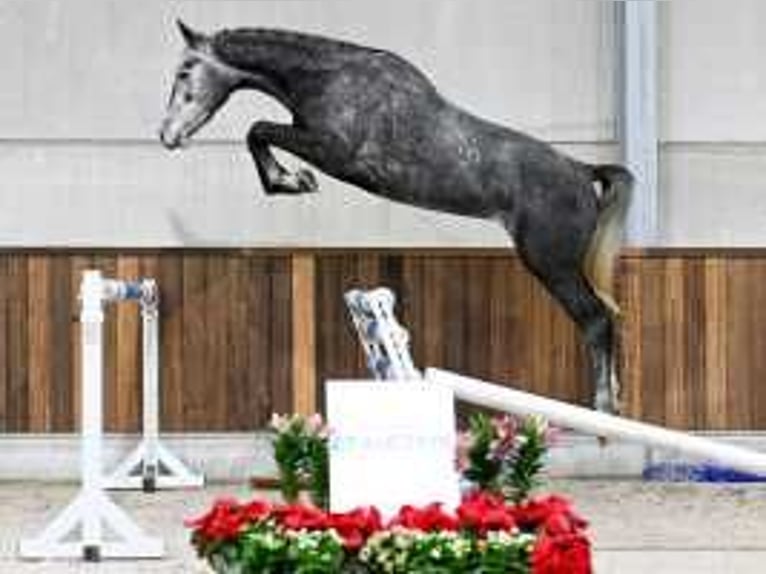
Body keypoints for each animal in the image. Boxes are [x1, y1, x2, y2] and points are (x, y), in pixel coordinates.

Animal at [160, 19, 636, 414]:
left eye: (185, 71)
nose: (167, 135)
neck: (329, 78)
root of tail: (582, 172)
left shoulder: (334, 152)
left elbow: (258, 128)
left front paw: (291, 180)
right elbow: (260, 131)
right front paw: (291, 180)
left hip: (551, 263)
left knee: (596, 320)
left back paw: (604, 410)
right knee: (605, 320)